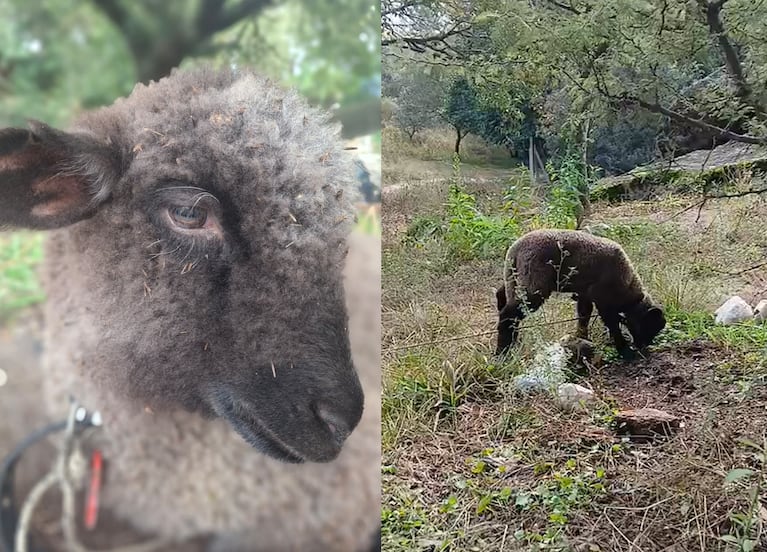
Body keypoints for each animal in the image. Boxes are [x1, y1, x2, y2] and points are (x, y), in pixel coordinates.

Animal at [495, 229, 666, 359]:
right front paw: (625, 351)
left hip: (514, 278)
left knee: (501, 297)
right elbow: (612, 324)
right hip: (534, 285)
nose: (644, 347)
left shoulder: (585, 294)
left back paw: (512, 343)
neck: (628, 289)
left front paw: (582, 338)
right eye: (648, 326)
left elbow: (584, 316)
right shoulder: (602, 299)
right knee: (508, 314)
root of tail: (514, 249)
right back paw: (502, 352)